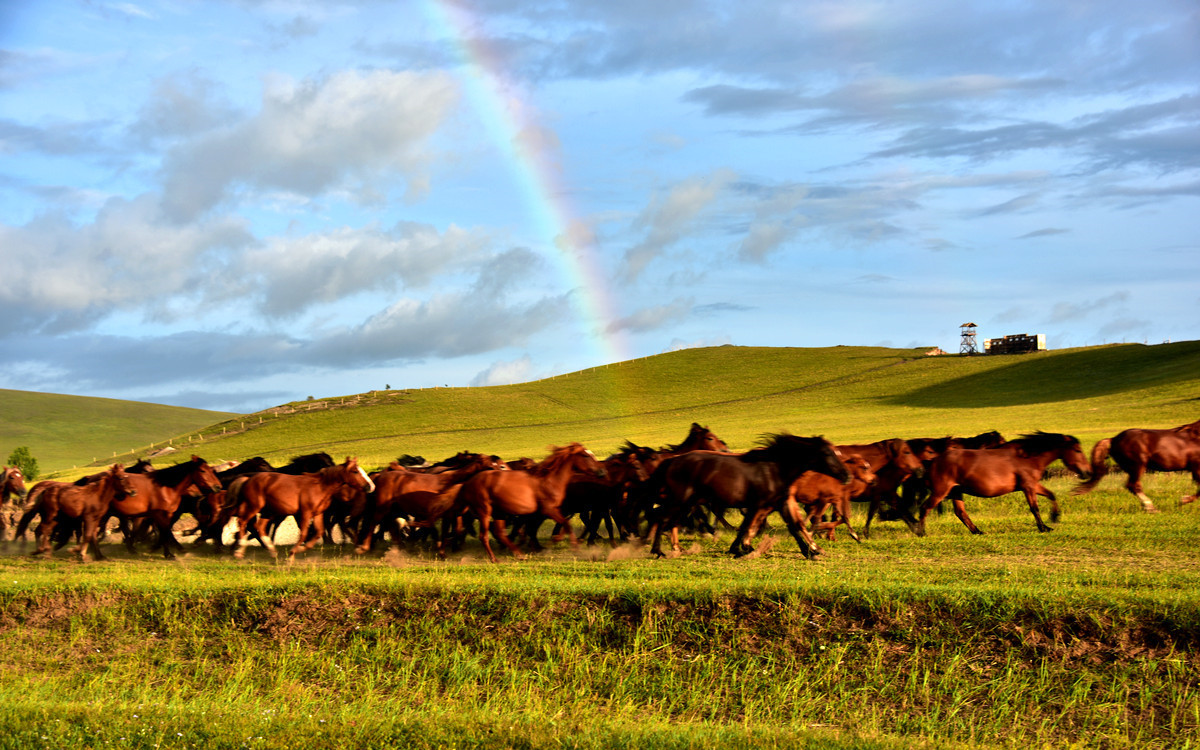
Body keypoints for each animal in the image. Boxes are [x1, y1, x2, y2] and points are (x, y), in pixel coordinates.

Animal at [451, 441, 604, 559]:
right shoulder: (547, 510)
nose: (602, 472)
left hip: (499, 512)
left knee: (500, 533)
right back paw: (495, 559)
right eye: (585, 455)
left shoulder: (544, 513)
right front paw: (575, 549)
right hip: (484, 511)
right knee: (484, 536)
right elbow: (564, 525)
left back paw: (519, 554)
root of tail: (468, 483)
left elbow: (545, 528)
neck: (549, 480)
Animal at [643, 429, 849, 559]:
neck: (775, 468)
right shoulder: (759, 504)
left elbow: (794, 525)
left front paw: (812, 551)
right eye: (827, 454)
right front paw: (743, 549)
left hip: (687, 503)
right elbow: (748, 526)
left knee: (669, 521)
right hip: (680, 500)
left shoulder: (778, 503)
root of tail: (672, 461)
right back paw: (658, 551)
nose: (846, 476)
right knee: (662, 519)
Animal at [912, 429, 1094, 535]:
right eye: (1077, 450)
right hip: (940, 492)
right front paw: (1043, 528)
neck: (1027, 456)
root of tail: (932, 461)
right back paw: (922, 532)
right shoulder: (1028, 487)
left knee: (961, 513)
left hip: (956, 492)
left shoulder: (1033, 485)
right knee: (925, 508)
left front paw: (1054, 518)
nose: (1087, 472)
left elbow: (1051, 495)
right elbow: (1034, 508)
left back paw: (977, 531)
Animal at [1070, 417, 1200, 511]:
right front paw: (1183, 500)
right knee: (1133, 485)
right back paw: (1150, 507)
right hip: (1138, 465)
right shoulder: (1196, 468)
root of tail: (1113, 439)